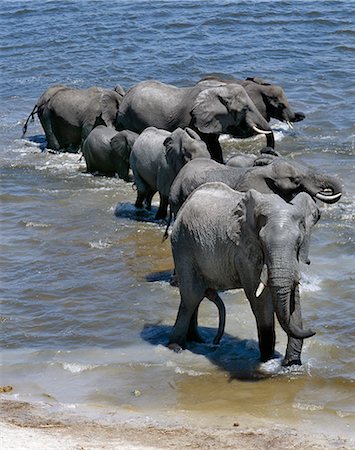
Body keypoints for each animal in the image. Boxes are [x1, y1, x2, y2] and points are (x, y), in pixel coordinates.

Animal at [117, 79, 276, 163]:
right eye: (244, 109)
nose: (264, 151)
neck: (219, 89)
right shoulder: (192, 120)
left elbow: (215, 145)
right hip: (129, 118)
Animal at [168, 182, 322, 366]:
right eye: (262, 243)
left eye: (299, 242)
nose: (313, 329)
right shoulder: (245, 252)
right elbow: (259, 299)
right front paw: (267, 360)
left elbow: (293, 299)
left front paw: (291, 364)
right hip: (182, 244)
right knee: (191, 297)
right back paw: (176, 347)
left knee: (195, 298)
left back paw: (196, 340)